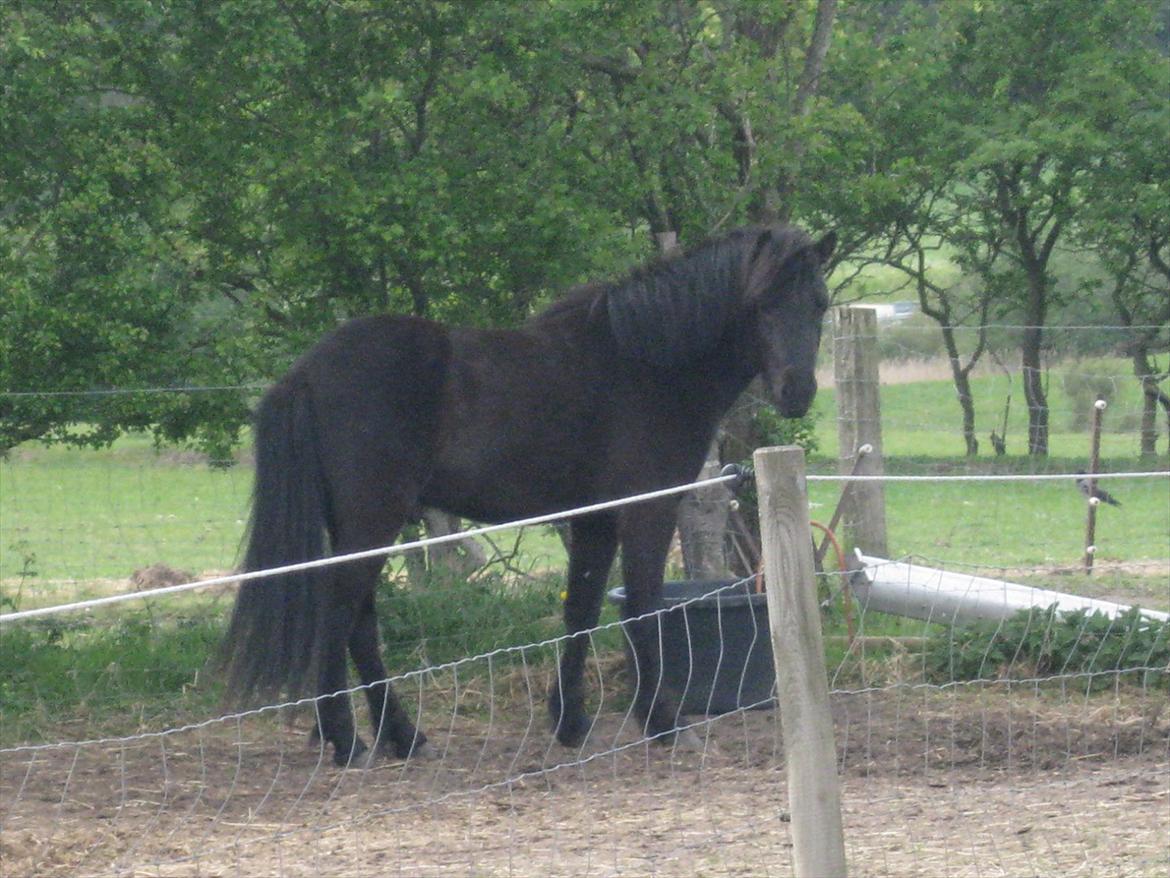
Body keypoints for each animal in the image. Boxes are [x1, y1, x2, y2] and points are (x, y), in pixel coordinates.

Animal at [221, 223, 833, 767]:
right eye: (763, 304)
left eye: (820, 304)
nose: (797, 392)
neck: (646, 364)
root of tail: (305, 371)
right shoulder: (646, 511)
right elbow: (641, 606)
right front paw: (661, 723)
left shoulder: (594, 521)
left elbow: (581, 610)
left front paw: (570, 723)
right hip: (373, 519)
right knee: (342, 612)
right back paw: (346, 740)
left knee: (361, 623)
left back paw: (403, 736)